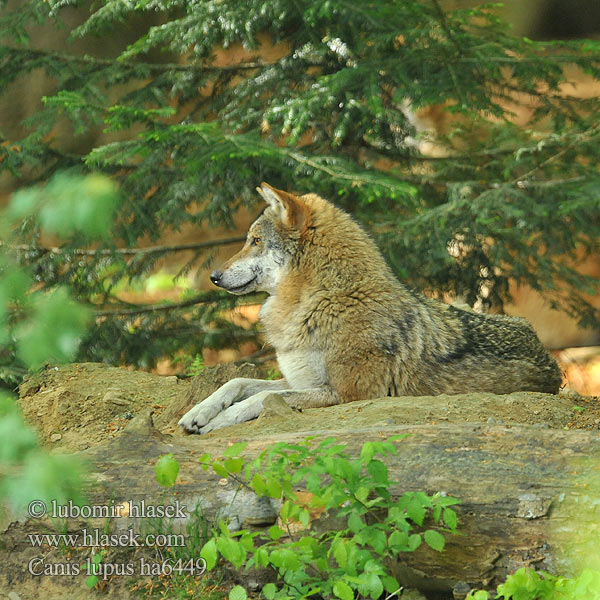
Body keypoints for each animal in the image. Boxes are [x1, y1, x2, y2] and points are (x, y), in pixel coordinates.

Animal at [179, 180, 564, 434]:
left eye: (255, 241)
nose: (214, 276)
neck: (325, 299)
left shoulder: (348, 393)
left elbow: (257, 399)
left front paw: (219, 421)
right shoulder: (300, 378)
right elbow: (239, 382)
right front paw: (198, 413)